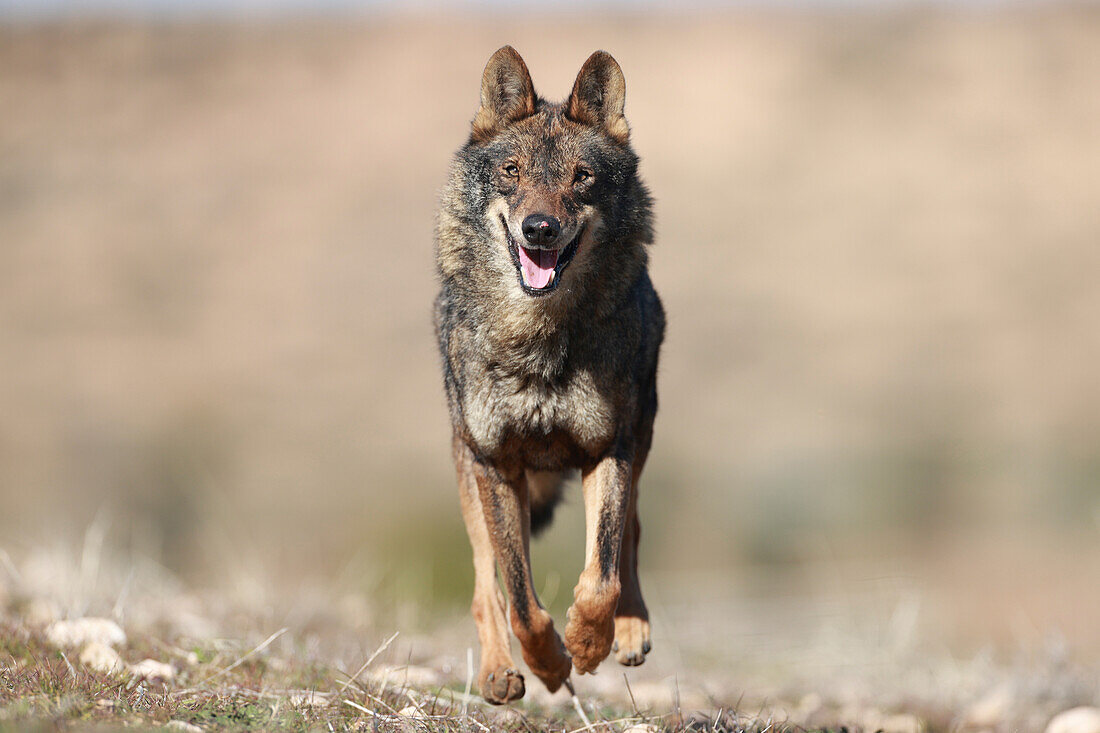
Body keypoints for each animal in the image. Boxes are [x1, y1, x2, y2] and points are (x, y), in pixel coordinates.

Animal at [435, 45, 660, 704]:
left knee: (631, 534)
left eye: (581, 177)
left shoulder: (608, 448)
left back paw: (630, 632)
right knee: (484, 583)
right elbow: (519, 599)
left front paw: (587, 645)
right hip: (466, 470)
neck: (537, 339)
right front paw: (551, 664)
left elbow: (601, 578)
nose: (539, 228)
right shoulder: (496, 463)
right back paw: (497, 673)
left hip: (641, 438)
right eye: (511, 170)